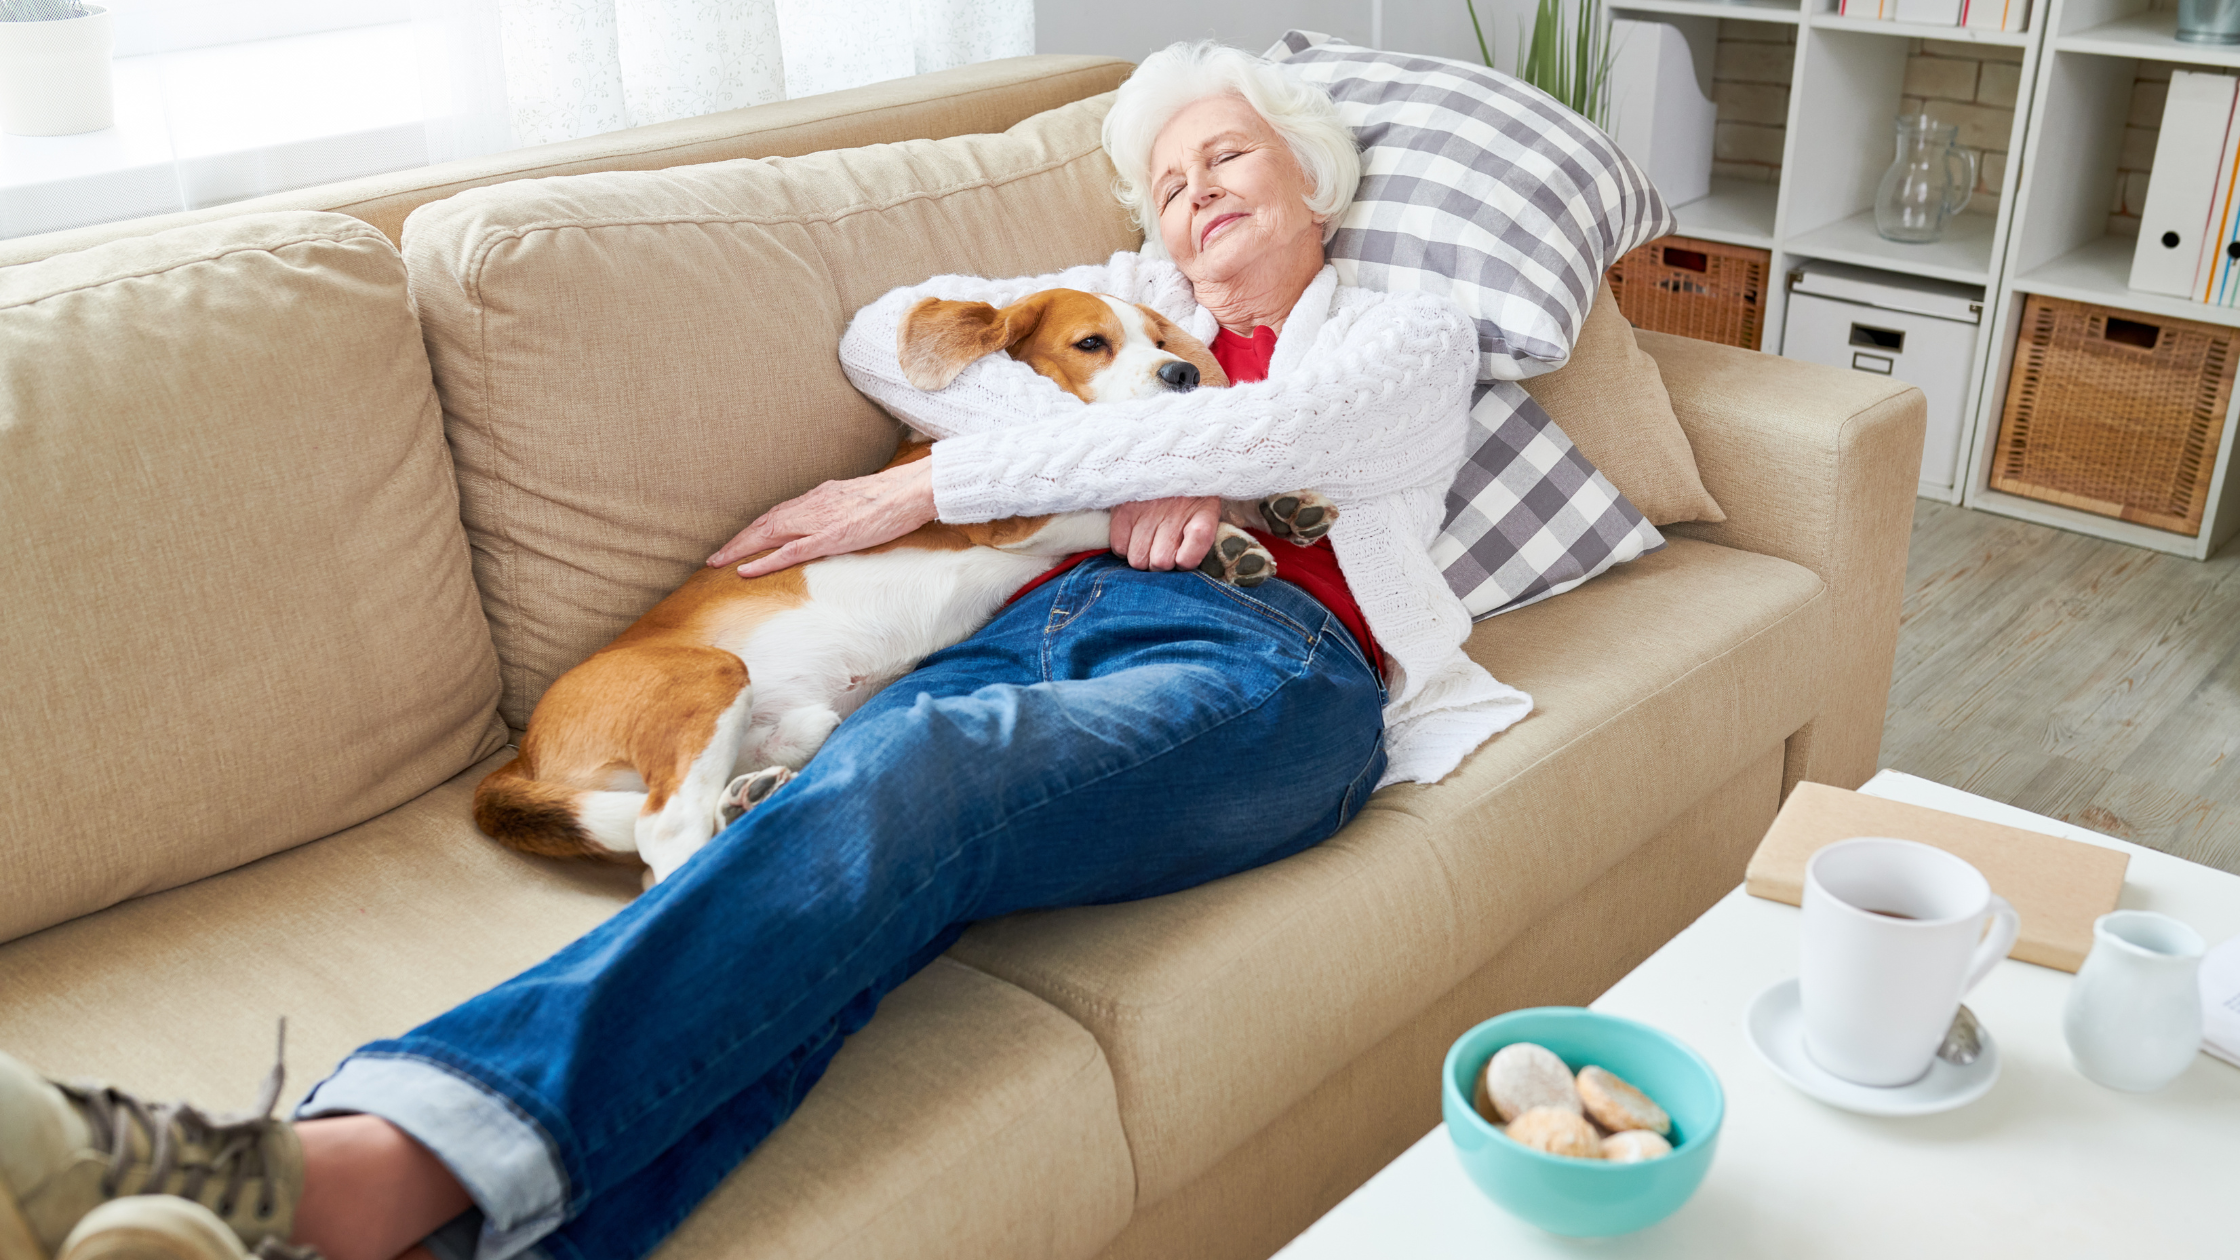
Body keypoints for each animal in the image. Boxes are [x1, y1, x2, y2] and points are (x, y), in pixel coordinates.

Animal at [477, 285, 1326, 883]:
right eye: (1093, 343)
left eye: (1156, 339)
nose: (1183, 372)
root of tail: (519, 758)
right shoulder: (1009, 514)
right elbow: (1129, 493)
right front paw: (1226, 518)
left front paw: (1255, 521)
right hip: (710, 675)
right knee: (661, 838)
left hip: (774, 726)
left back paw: (749, 795)